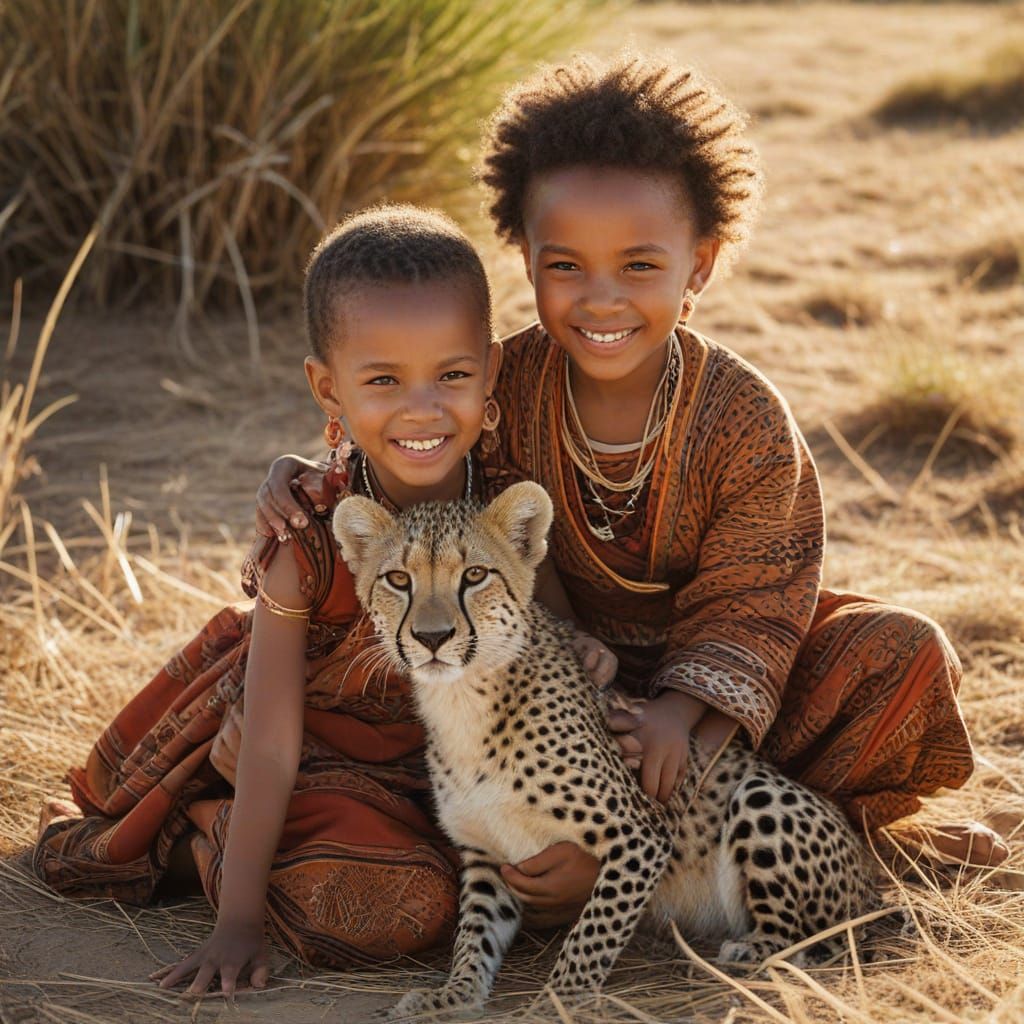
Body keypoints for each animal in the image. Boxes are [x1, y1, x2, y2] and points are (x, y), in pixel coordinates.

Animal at [332, 481, 877, 1017]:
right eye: (398, 579)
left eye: (475, 575)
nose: (432, 636)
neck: (464, 698)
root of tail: (869, 880)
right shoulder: (487, 854)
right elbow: (475, 935)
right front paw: (453, 994)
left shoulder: (642, 837)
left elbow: (592, 932)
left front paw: (558, 1002)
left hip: (759, 795)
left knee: (824, 938)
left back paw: (753, 949)